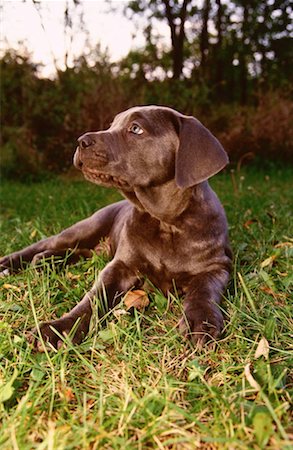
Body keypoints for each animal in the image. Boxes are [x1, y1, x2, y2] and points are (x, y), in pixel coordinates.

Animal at [1, 106, 232, 352]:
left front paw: (201, 321)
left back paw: (46, 262)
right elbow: (94, 298)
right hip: (86, 227)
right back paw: (10, 264)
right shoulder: (121, 266)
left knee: (81, 252)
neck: (166, 223)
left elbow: (203, 290)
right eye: (112, 125)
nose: (81, 141)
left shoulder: (217, 267)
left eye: (136, 128)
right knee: (45, 244)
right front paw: (60, 328)